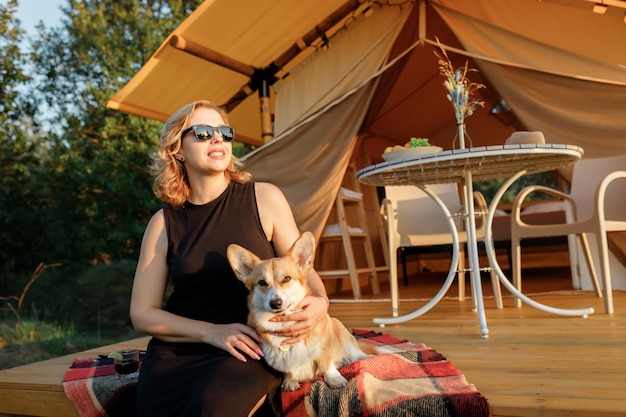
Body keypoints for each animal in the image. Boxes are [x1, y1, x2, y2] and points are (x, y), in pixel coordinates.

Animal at [227, 231, 370, 390]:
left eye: (287, 278)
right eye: (262, 282)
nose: (275, 303)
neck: (283, 325)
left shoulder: (324, 349)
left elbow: (326, 363)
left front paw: (334, 378)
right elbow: (288, 370)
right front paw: (290, 381)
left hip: (340, 329)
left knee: (357, 354)